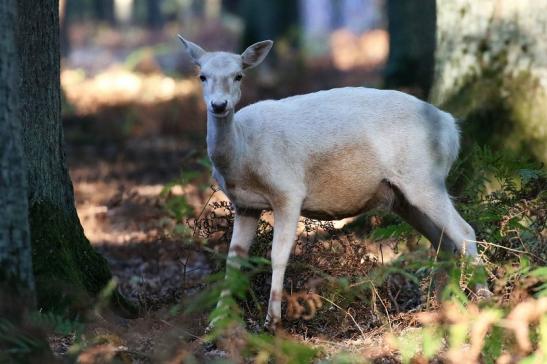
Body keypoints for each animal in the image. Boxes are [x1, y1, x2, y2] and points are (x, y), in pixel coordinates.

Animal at [179, 35, 488, 328]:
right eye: (201, 75)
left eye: (239, 75)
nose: (219, 105)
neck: (243, 154)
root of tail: (452, 129)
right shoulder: (244, 205)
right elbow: (234, 260)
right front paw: (217, 322)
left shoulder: (288, 190)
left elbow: (278, 254)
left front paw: (272, 320)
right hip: (402, 197)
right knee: (443, 241)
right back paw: (442, 303)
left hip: (424, 178)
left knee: (464, 231)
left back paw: (482, 298)